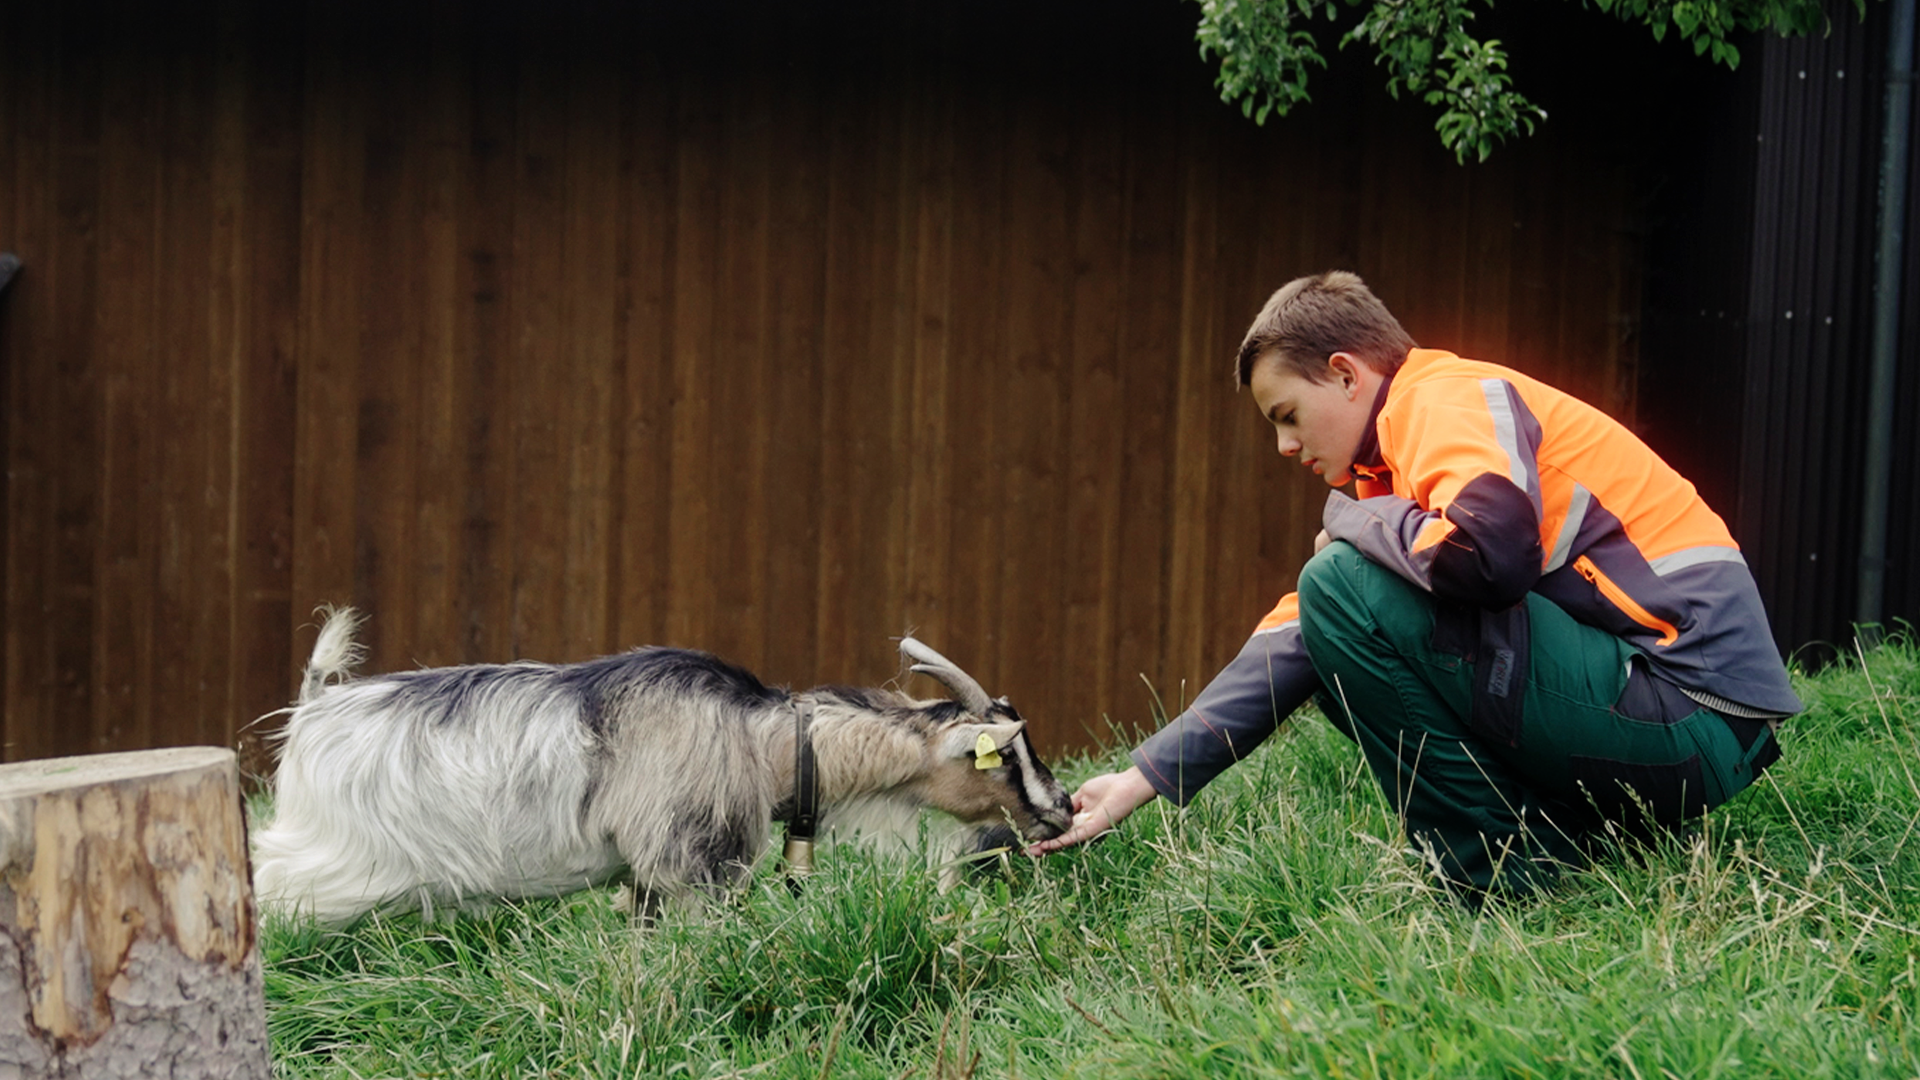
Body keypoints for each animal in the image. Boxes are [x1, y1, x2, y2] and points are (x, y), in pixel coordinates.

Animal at [247, 611, 1075, 922]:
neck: (763, 739)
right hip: (330, 863)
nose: (1063, 806)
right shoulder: (692, 861)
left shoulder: (649, 875)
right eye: (1003, 758)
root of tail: (314, 707)